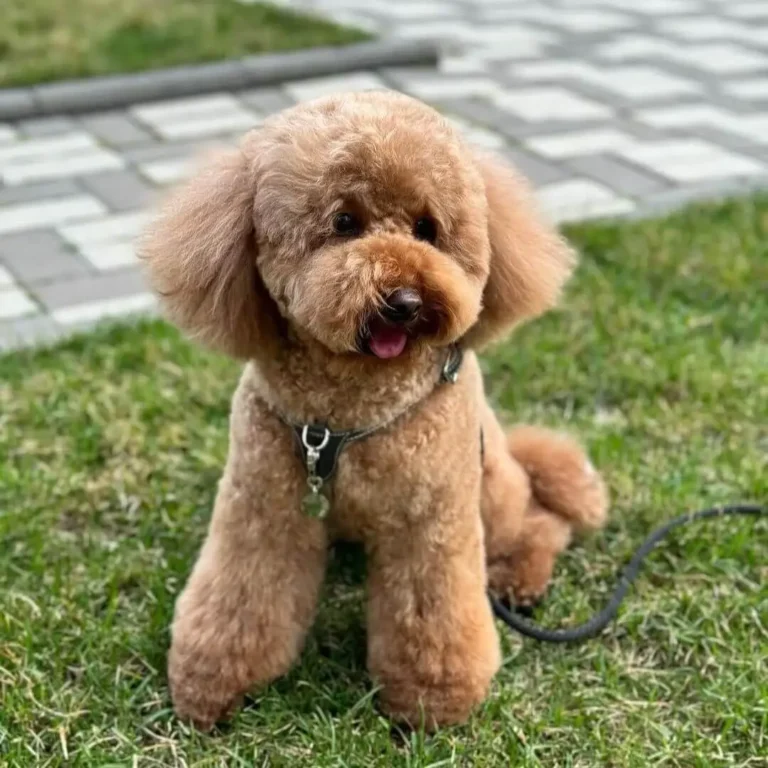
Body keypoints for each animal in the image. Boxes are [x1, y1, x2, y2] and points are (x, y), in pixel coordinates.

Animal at [136, 87, 608, 728]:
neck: (343, 422)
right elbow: (241, 601)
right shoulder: (262, 510)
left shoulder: (429, 523)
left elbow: (432, 616)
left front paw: (432, 704)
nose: (405, 300)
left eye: (428, 229)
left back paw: (520, 578)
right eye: (343, 223)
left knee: (540, 519)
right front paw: (212, 686)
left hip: (489, 488)